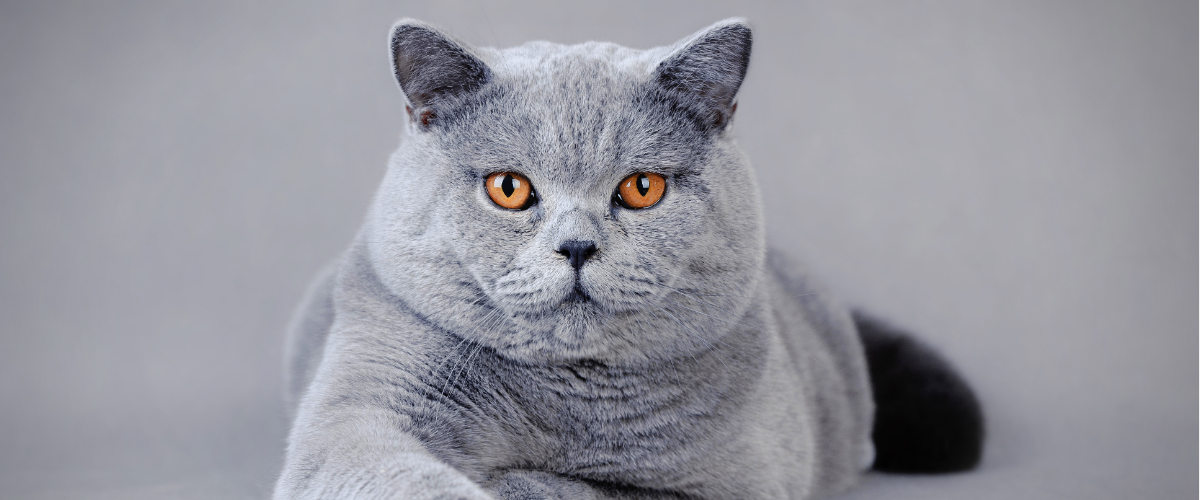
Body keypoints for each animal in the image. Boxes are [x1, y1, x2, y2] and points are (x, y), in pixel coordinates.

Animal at [274, 17, 984, 496]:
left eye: (642, 188)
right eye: (509, 188)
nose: (577, 246)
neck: (567, 402)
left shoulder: (745, 483)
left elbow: (587, 491)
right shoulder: (361, 415)